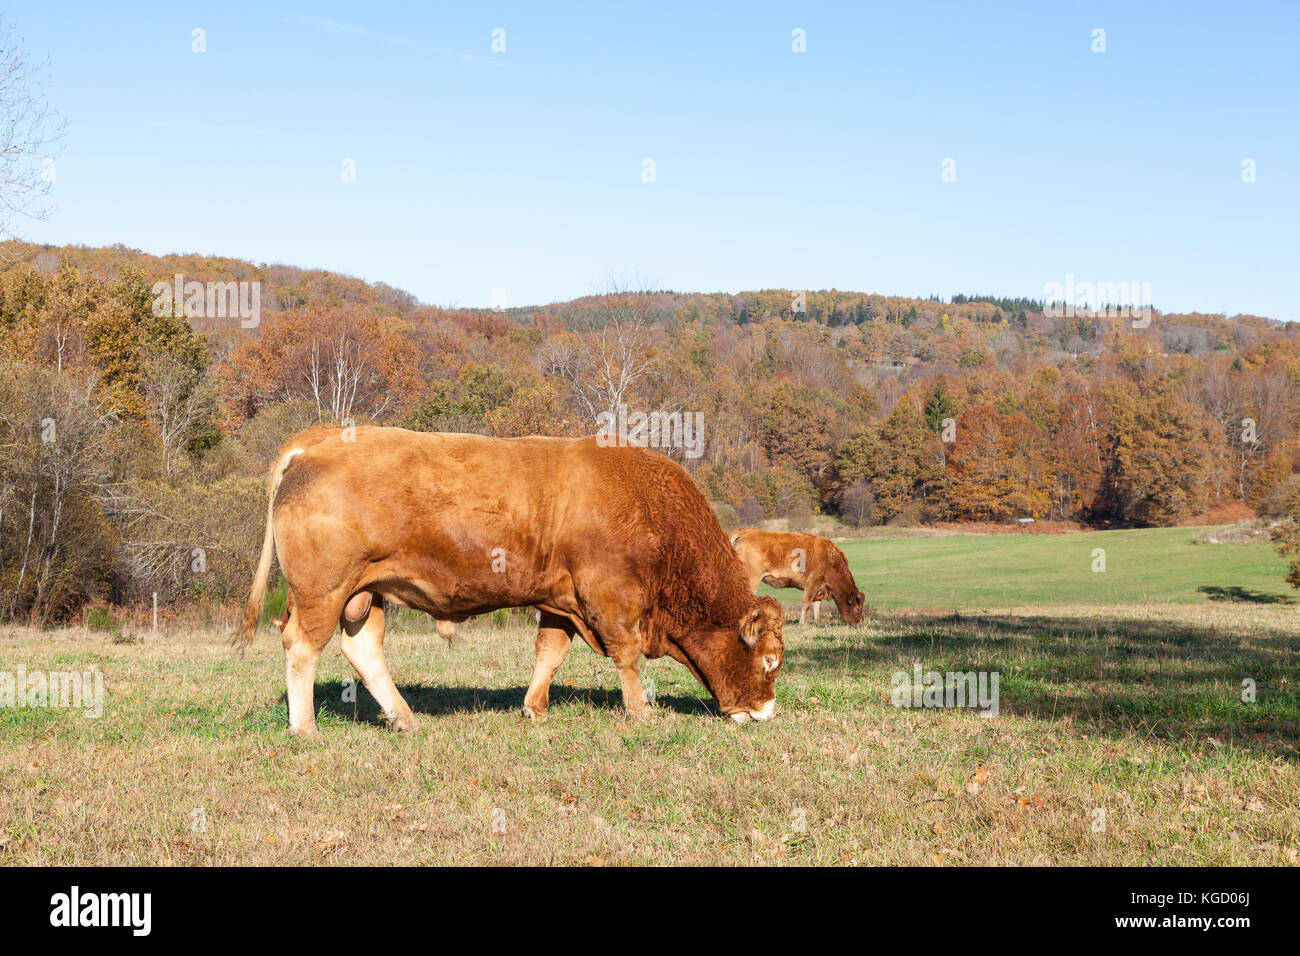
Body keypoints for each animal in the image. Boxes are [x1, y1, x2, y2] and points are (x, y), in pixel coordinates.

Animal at [236, 429, 780, 738]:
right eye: (770, 660)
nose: (768, 711)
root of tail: (318, 438)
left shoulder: (559, 600)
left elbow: (550, 652)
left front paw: (534, 709)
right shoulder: (609, 595)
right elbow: (625, 655)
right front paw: (641, 711)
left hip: (364, 593)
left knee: (363, 649)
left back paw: (403, 719)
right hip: (323, 591)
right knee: (302, 646)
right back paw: (305, 728)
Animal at [728, 530, 868, 629]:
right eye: (857, 609)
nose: (858, 624)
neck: (831, 559)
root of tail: (743, 532)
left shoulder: (819, 589)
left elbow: (817, 605)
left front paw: (818, 623)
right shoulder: (812, 584)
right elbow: (806, 603)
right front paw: (802, 623)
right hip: (751, 580)